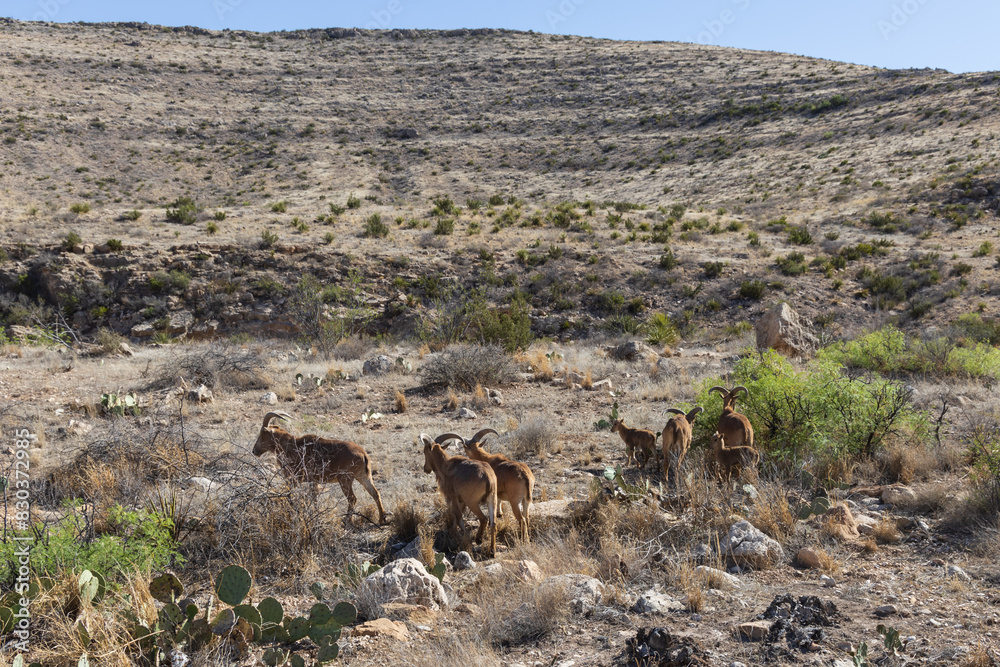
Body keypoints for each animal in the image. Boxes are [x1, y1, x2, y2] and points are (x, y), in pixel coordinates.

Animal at [252, 411, 387, 524]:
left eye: (262, 434)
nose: (254, 451)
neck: (291, 447)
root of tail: (363, 454)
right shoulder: (314, 481)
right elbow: (314, 498)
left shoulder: (295, 479)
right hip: (364, 477)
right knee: (375, 493)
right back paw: (382, 519)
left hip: (345, 479)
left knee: (352, 498)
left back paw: (347, 520)